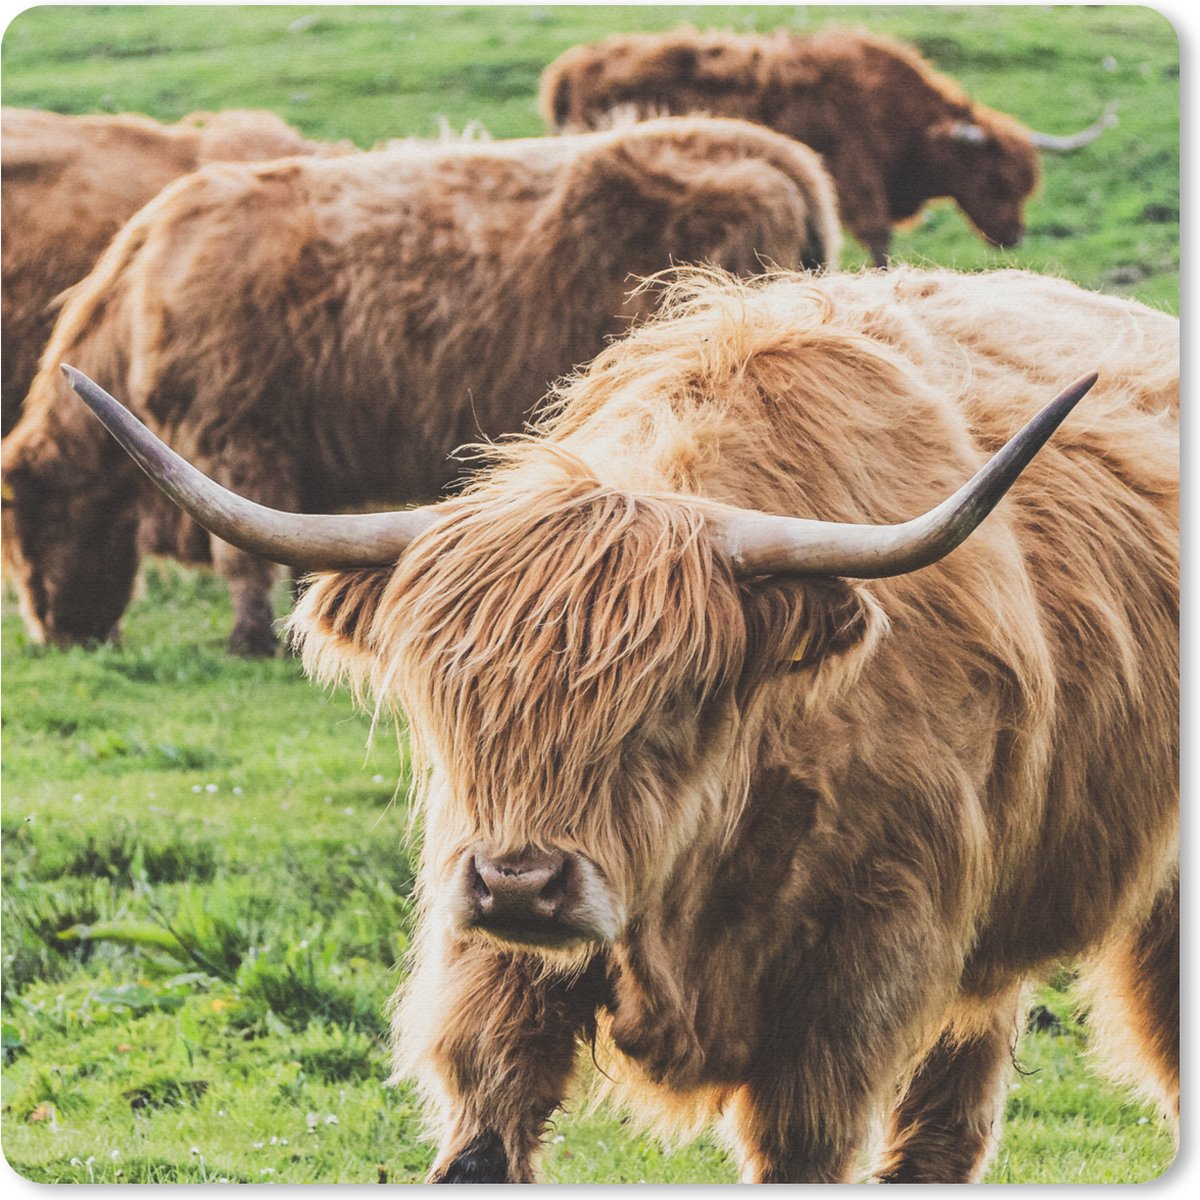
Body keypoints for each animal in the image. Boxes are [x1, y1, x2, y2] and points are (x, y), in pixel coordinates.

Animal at [2, 116, 840, 655]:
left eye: (20, 518)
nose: (58, 635)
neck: (147, 290)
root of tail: (776, 153)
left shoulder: (238, 437)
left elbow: (244, 559)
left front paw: (248, 640)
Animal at [61, 265, 1178, 1183]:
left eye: (671, 706)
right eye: (451, 704)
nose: (522, 884)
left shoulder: (856, 979)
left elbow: (806, 1145)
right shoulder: (493, 961)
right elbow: (484, 1126)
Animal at [540, 29, 1116, 265]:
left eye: (1026, 184)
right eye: (996, 179)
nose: (1014, 236)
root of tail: (572, 66)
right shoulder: (857, 181)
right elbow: (880, 242)